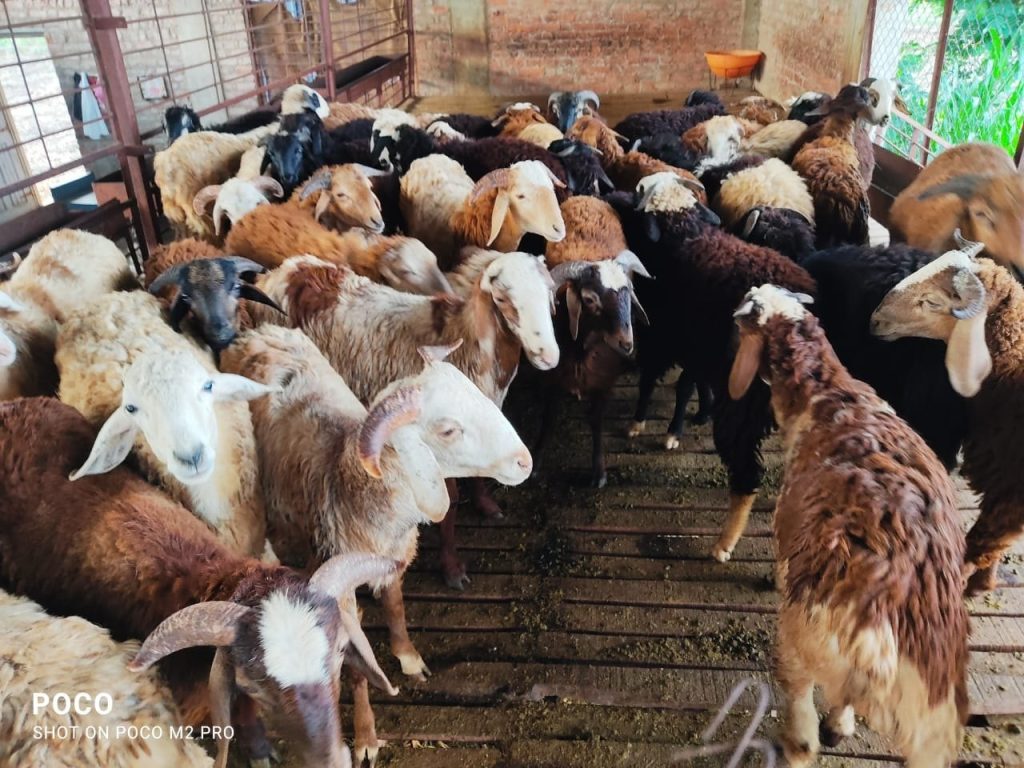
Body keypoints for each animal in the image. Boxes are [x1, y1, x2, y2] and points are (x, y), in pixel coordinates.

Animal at [221, 326, 532, 763]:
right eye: (448, 430)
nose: (525, 461)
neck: (351, 482)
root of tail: (257, 333)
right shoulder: (339, 588)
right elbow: (356, 666)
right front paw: (367, 736)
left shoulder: (393, 555)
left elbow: (396, 606)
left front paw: (408, 656)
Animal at [250, 251, 558, 585]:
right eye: (502, 299)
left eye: (550, 293)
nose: (548, 355)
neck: (464, 339)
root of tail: (287, 270)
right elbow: (449, 503)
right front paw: (452, 567)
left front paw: (486, 505)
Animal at [610, 172, 816, 560]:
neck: (685, 236)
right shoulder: (696, 345)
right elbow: (688, 385)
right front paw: (688, 418)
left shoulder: (663, 334)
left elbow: (651, 379)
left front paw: (640, 423)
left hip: (743, 409)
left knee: (747, 476)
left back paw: (725, 543)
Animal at [870, 241, 1024, 594]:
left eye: (932, 302)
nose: (875, 321)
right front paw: (983, 582)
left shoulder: (1011, 489)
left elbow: (983, 540)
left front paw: (969, 582)